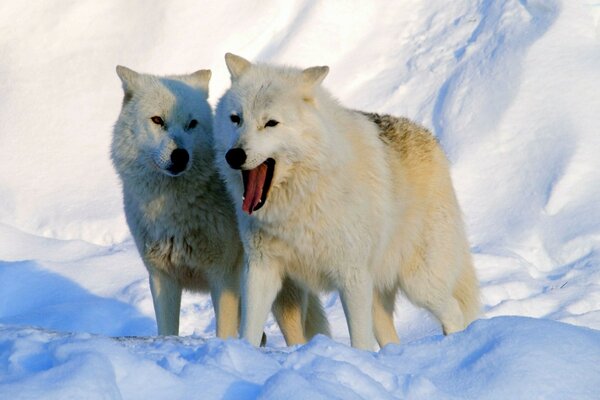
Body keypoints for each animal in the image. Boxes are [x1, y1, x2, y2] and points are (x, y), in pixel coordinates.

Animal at [110, 66, 330, 344]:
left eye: (192, 124)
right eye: (158, 120)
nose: (180, 155)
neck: (174, 208)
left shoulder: (223, 277)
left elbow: (223, 333)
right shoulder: (162, 278)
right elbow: (167, 332)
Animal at [213, 54, 480, 350]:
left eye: (270, 123)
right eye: (236, 119)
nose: (234, 155)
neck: (302, 199)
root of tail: (431, 139)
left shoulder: (352, 275)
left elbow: (360, 342)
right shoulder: (261, 269)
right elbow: (249, 330)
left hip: (419, 283)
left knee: (454, 312)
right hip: (379, 299)